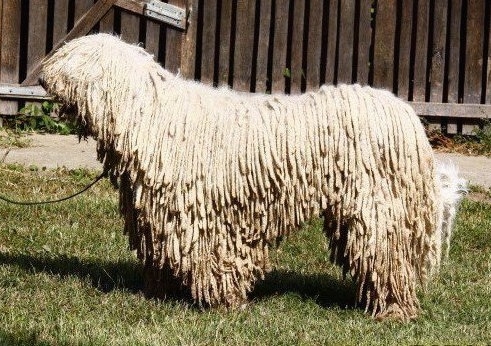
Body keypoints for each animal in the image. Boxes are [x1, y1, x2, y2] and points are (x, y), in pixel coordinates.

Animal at [41, 33, 466, 320]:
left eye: (67, 57)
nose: (42, 77)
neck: (147, 115)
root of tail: (407, 117)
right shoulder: (161, 215)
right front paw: (160, 292)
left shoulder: (207, 216)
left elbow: (216, 260)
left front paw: (221, 303)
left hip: (378, 208)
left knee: (387, 258)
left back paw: (393, 310)